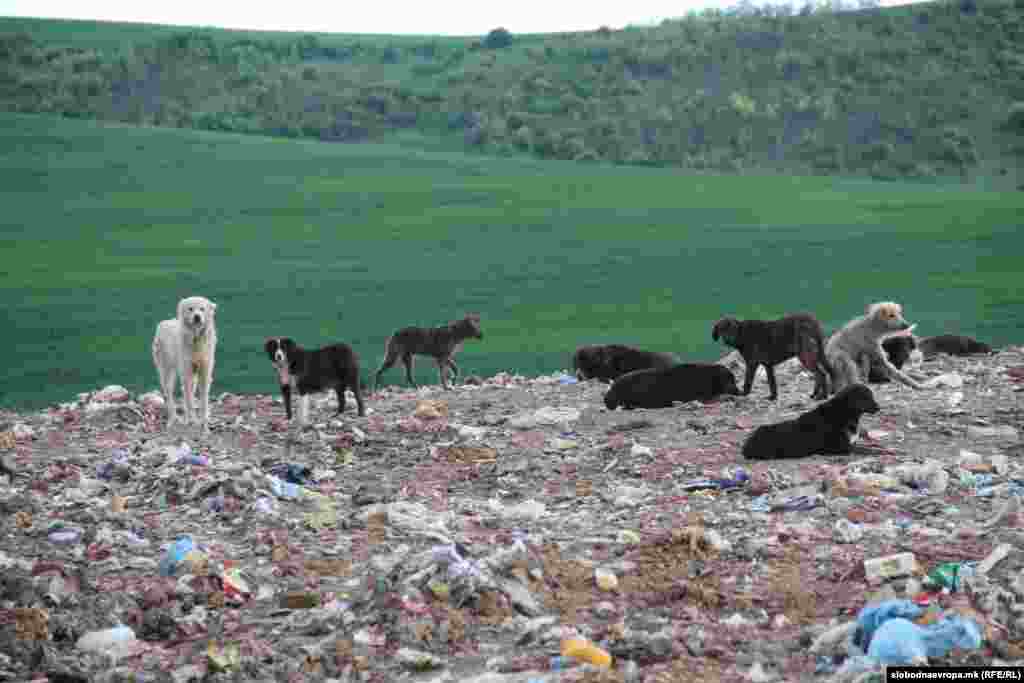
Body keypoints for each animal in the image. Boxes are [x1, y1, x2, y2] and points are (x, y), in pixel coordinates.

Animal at [149, 294, 216, 432]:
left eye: (202, 309)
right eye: (190, 309)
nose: (197, 317)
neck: (196, 339)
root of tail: (163, 323)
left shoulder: (204, 372)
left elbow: (203, 400)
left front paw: (204, 424)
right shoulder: (187, 372)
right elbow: (189, 400)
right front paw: (193, 422)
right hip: (167, 371)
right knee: (169, 395)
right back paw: (173, 420)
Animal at [741, 382, 884, 462]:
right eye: (866, 397)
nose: (879, 407)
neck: (843, 413)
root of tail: (746, 445)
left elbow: (868, 446)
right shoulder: (842, 448)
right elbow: (866, 449)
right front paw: (881, 451)